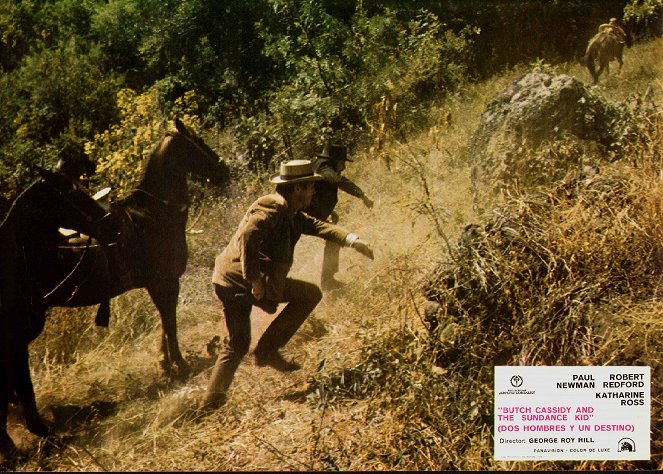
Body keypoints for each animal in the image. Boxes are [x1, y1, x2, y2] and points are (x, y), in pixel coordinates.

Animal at [0, 117, 228, 456]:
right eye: (196, 143)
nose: (223, 171)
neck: (156, 213)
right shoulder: (165, 281)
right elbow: (170, 323)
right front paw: (179, 365)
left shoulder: (158, 284)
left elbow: (165, 323)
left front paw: (165, 363)